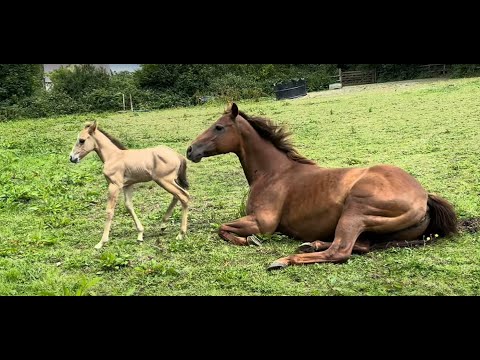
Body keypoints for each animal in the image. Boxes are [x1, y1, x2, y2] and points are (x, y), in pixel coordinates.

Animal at [186, 103, 456, 270]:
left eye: (218, 127)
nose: (190, 150)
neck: (274, 173)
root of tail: (424, 197)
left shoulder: (263, 222)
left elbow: (222, 228)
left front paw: (249, 240)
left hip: (355, 212)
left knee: (340, 251)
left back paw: (283, 260)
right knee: (362, 246)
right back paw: (311, 243)